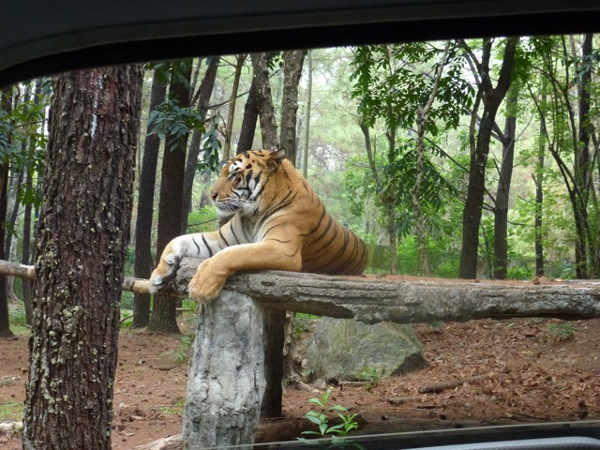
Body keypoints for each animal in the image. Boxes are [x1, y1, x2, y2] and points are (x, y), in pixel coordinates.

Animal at [149, 149, 366, 304]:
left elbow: (234, 254)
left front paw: (201, 286)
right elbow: (176, 240)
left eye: (234, 176)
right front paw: (158, 275)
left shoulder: (282, 248)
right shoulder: (221, 239)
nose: (212, 195)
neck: (252, 215)